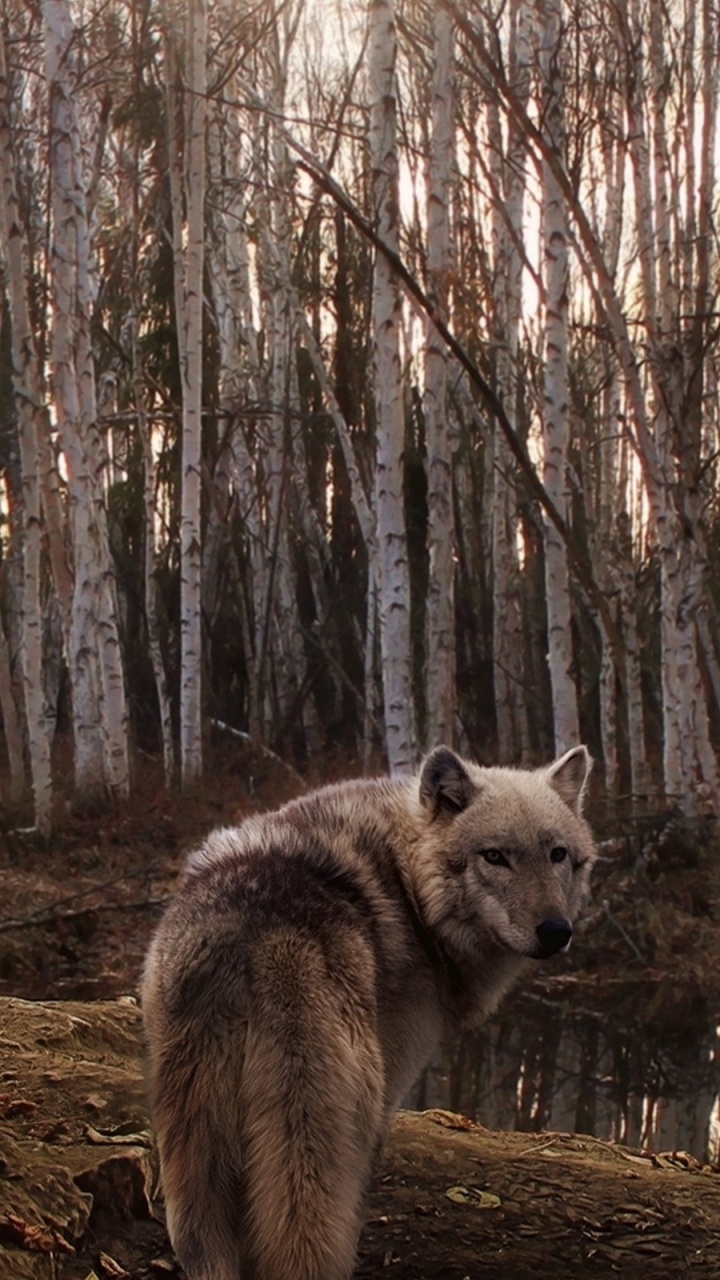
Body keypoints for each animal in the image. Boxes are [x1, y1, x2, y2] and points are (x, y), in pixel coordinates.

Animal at [142, 744, 596, 1280]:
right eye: (495, 857)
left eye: (557, 854)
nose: (556, 931)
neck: (409, 888)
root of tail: (258, 936)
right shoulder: (390, 1087)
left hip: (194, 1149)